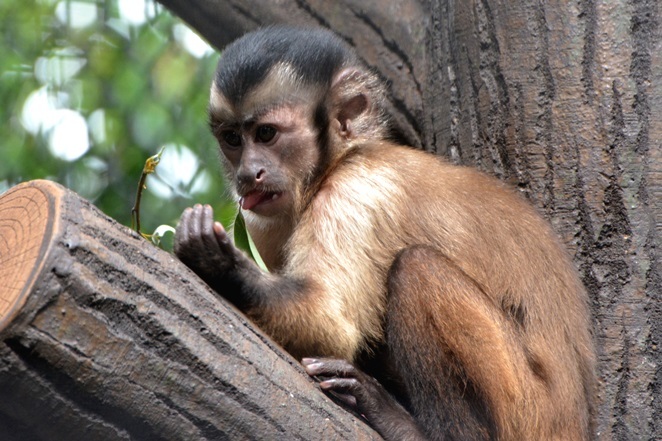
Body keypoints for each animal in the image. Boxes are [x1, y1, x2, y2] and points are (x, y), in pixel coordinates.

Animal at [174, 26, 600, 440]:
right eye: (233, 139)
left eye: (266, 134)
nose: (249, 173)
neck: (335, 164)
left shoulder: (355, 191)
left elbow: (328, 322)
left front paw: (219, 261)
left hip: (529, 412)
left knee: (416, 269)